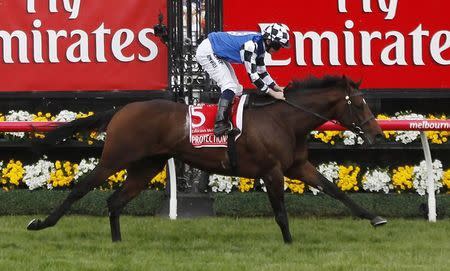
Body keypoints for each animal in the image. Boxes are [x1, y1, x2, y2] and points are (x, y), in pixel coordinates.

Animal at [27, 75, 386, 243]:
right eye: (358, 104)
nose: (377, 134)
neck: (284, 119)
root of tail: (121, 110)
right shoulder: (272, 171)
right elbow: (281, 213)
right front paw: (289, 243)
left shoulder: (297, 166)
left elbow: (334, 190)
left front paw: (375, 218)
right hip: (115, 158)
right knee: (81, 189)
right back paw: (41, 223)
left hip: (146, 166)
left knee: (115, 201)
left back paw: (118, 243)